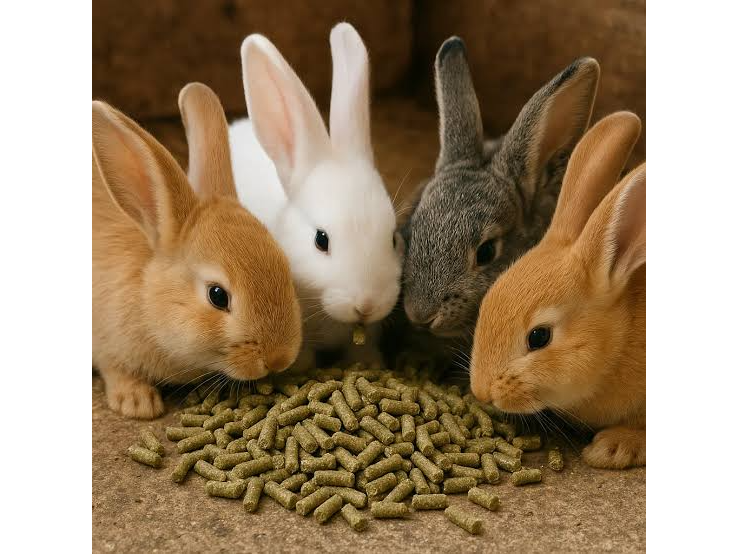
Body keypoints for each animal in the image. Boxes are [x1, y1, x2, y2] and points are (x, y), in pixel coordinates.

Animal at [92, 82, 302, 419]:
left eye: (285, 266)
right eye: (217, 296)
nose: (278, 358)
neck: (148, 297)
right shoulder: (107, 344)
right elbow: (117, 370)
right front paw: (138, 404)